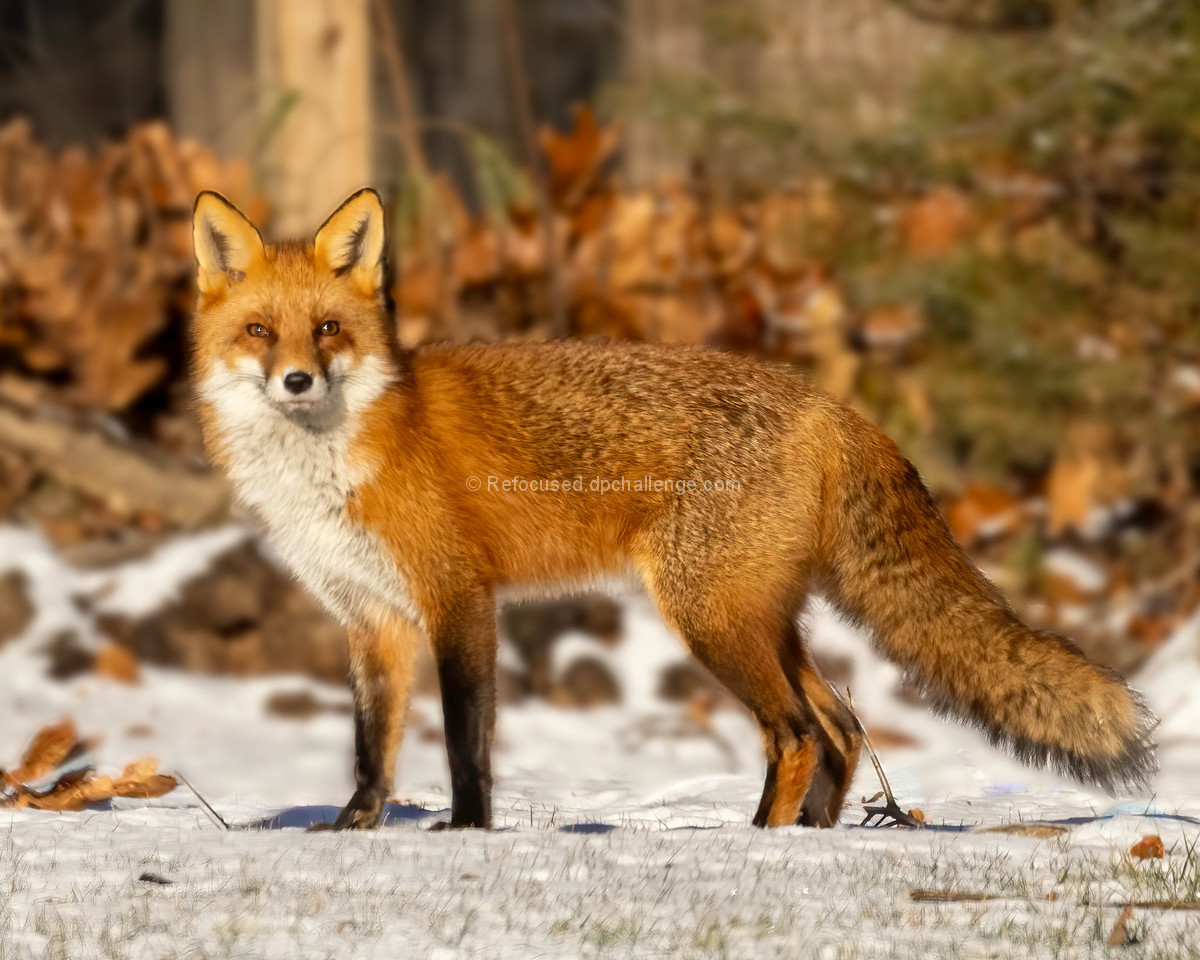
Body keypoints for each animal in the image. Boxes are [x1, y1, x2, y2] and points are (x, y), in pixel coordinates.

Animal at [190, 187, 1157, 831]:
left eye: (327, 330)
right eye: (259, 332)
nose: (297, 380)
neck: (341, 456)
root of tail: (827, 402)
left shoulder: (458, 598)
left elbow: (466, 741)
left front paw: (465, 835)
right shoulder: (371, 618)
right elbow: (372, 746)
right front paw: (354, 832)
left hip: (710, 617)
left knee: (797, 733)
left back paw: (757, 842)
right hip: (759, 617)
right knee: (842, 728)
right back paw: (812, 843)